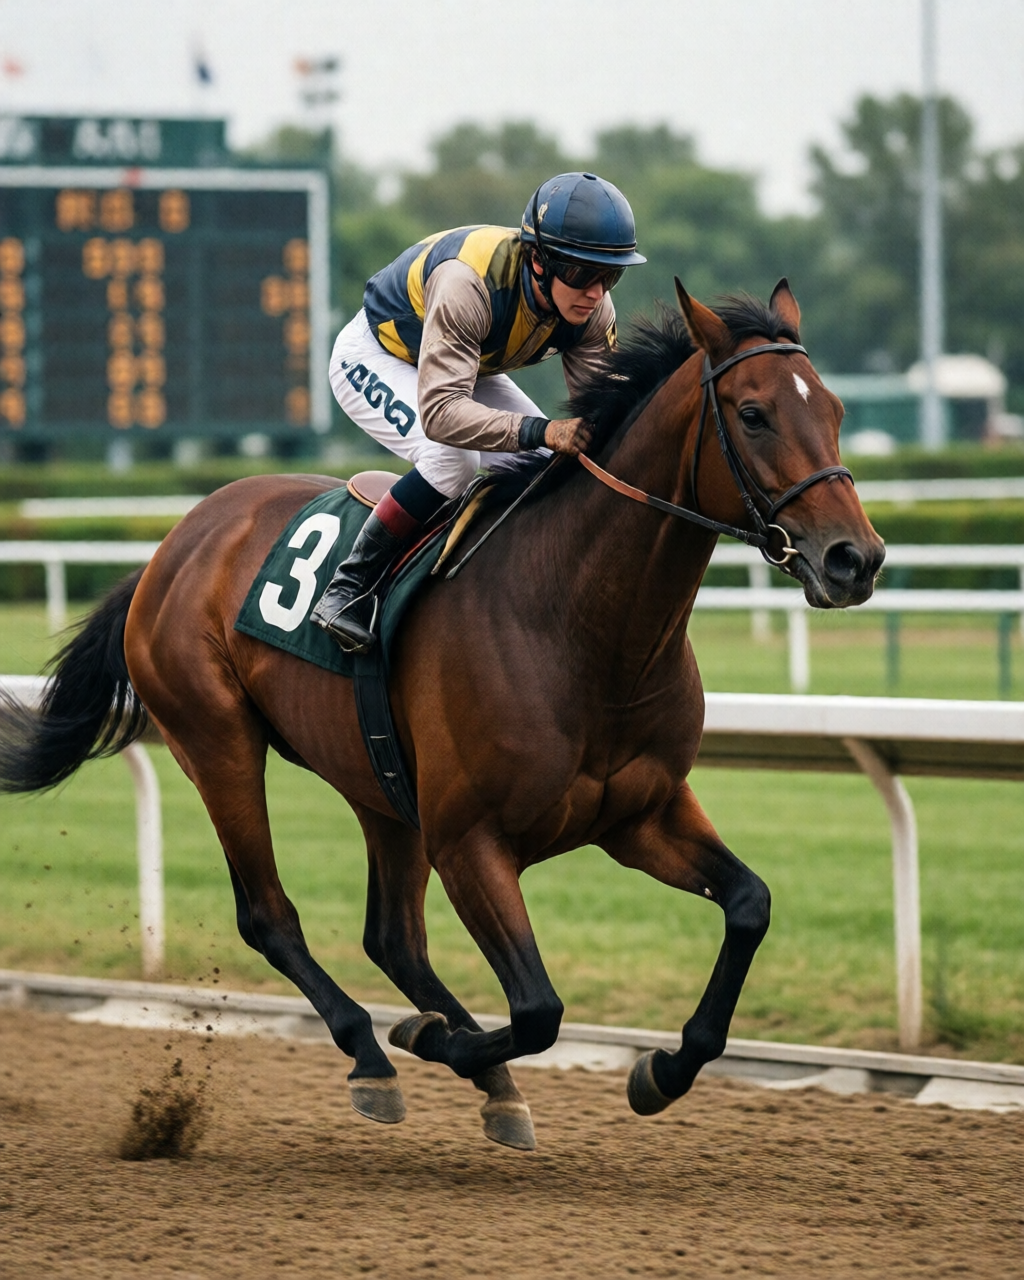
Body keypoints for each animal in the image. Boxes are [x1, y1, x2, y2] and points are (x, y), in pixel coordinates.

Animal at [0, 279, 884, 1151]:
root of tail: (171, 545)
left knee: (391, 935)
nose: (857, 558)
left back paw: (484, 1078)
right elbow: (539, 1008)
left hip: (380, 783)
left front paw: (660, 1071)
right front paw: (431, 1040)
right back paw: (375, 1054)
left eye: (837, 409)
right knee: (270, 916)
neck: (582, 625)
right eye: (754, 413)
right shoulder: (470, 841)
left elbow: (749, 906)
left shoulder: (642, 813)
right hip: (217, 742)